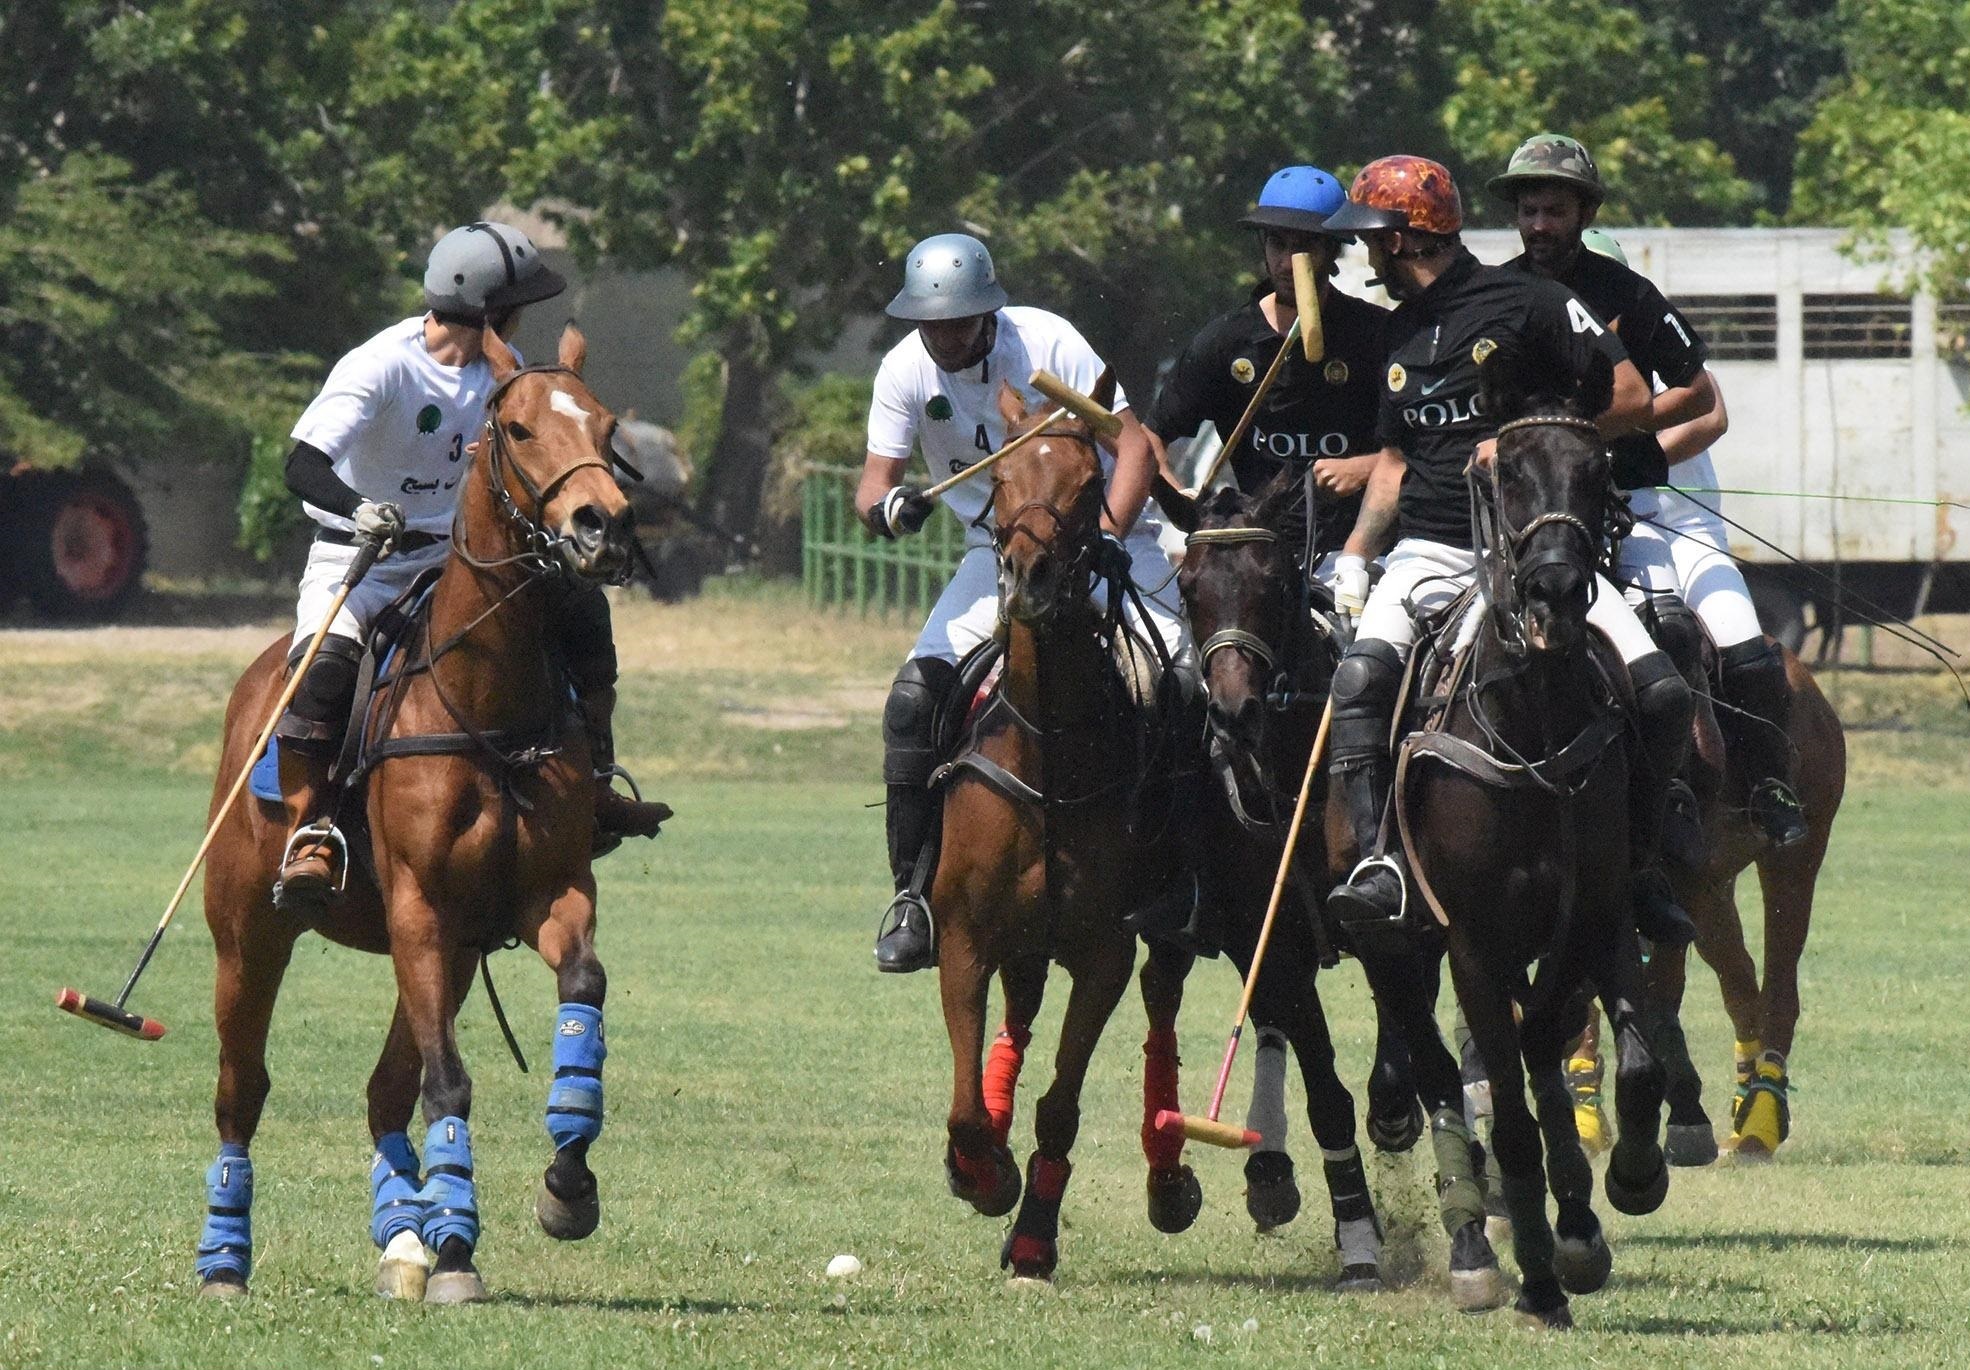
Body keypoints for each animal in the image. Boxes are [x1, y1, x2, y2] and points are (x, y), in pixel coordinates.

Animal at [196, 323, 634, 1308]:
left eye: (607, 425)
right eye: (516, 429)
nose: (601, 526)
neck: (488, 702)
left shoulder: (544, 896)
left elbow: (582, 990)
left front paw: (565, 1188)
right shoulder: (419, 909)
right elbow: (450, 1083)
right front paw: (462, 1246)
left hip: (451, 953)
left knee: (381, 1092)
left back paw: (406, 1239)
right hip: (249, 938)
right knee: (243, 1090)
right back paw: (224, 1261)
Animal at [1394, 350, 1670, 1332]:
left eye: (1595, 473)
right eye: (1508, 474)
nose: (1552, 595)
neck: (1534, 726)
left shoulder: (1595, 913)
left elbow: (1620, 1058)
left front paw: (1615, 1191)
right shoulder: (1474, 939)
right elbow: (1507, 1101)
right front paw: (1542, 1277)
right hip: (1395, 939)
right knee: (1444, 1063)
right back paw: (1491, 1244)